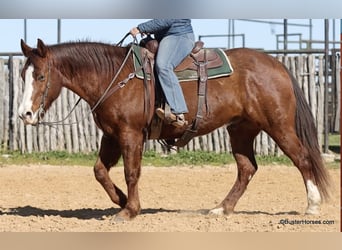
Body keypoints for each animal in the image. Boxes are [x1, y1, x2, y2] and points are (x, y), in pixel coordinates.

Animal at [17, 38, 330, 220]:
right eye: (22, 75)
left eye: (41, 76)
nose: (24, 114)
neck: (114, 76)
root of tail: (277, 64)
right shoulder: (112, 136)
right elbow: (100, 171)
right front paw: (121, 201)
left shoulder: (130, 135)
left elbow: (132, 172)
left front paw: (130, 210)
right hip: (241, 130)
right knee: (247, 168)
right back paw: (221, 208)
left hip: (278, 125)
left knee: (302, 159)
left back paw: (313, 206)